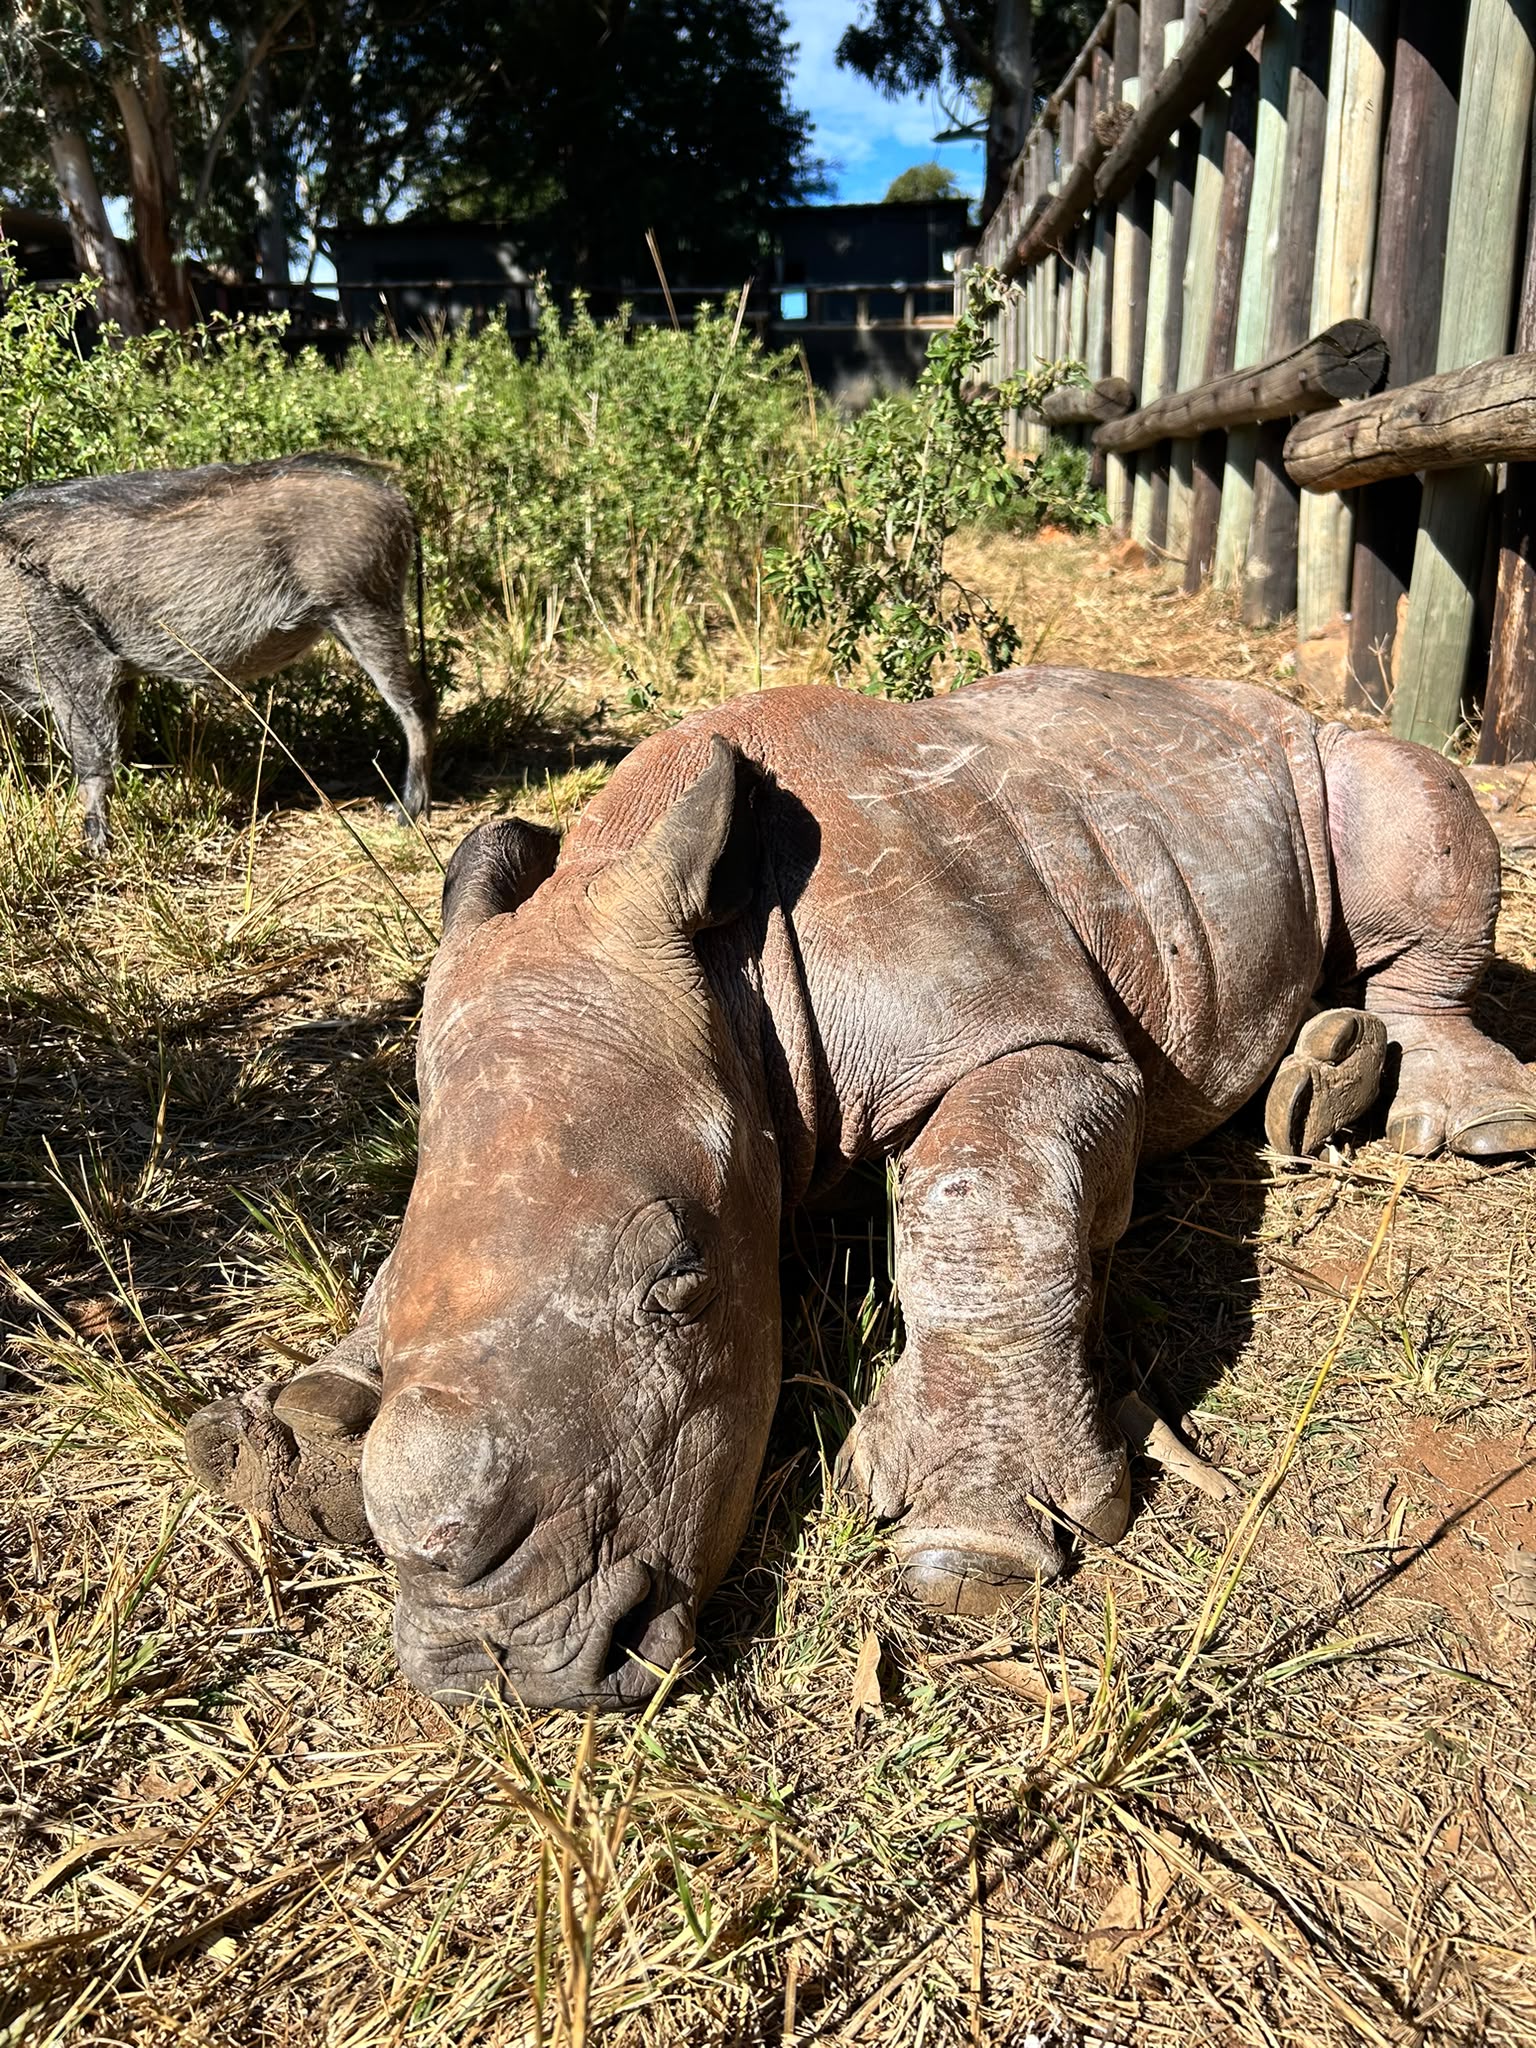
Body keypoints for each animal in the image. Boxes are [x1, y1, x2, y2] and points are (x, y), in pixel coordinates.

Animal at [0, 453, 433, 849]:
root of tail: (396, 497)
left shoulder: (78, 666)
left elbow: (92, 762)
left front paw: (95, 847)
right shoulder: (113, 677)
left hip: (364, 608)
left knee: (416, 704)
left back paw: (407, 813)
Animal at [184, 667, 1536, 1708]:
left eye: (683, 1281)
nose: (502, 1669)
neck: (736, 983)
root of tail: (1264, 695)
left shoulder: (1023, 1028)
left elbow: (985, 1194)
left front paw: (972, 1545)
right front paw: (291, 1438)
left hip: (1322, 749)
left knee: (1412, 799)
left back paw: (1472, 1121)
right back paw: (1322, 1082)